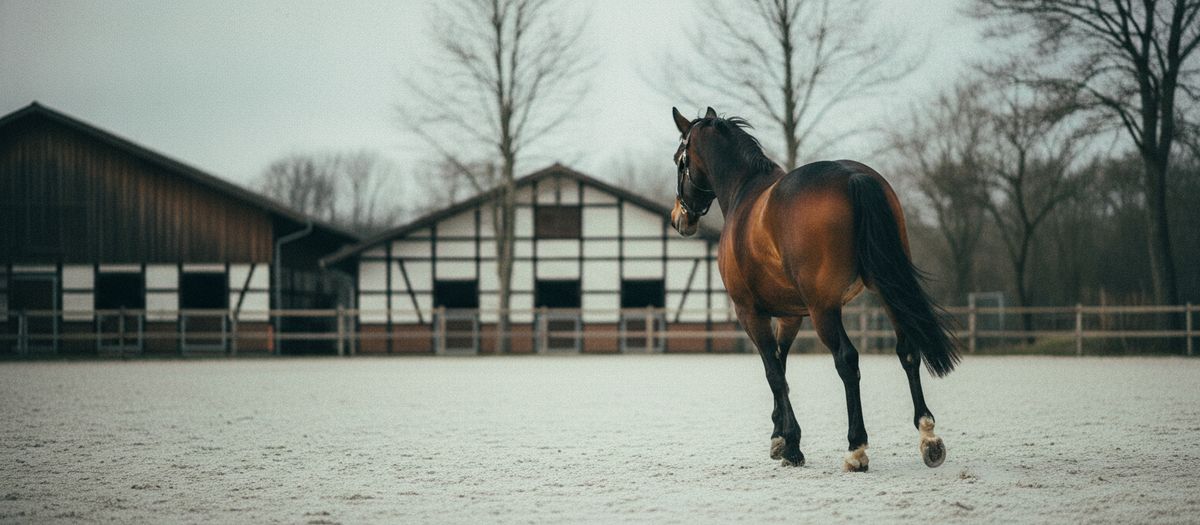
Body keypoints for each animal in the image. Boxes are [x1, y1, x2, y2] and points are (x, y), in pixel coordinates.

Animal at [670, 107, 960, 472]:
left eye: (679, 160)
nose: (679, 218)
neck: (745, 193)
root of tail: (852, 176)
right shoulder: (791, 315)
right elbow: (781, 364)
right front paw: (779, 437)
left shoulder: (750, 312)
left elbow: (773, 372)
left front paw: (792, 445)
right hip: (888, 290)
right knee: (907, 351)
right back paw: (929, 438)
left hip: (825, 309)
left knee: (847, 360)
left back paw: (856, 449)